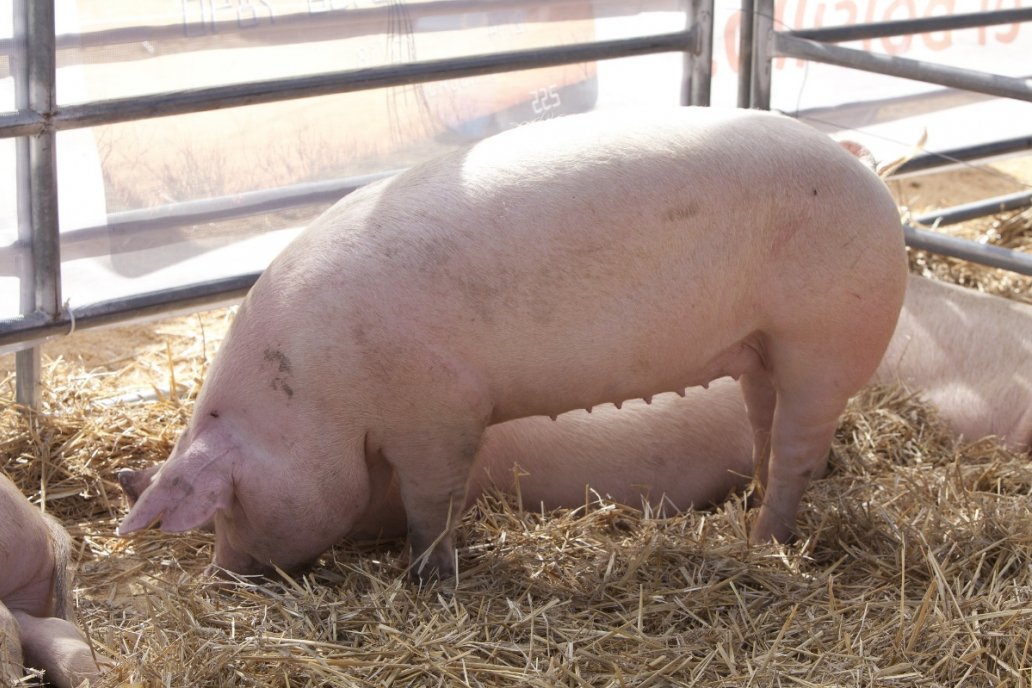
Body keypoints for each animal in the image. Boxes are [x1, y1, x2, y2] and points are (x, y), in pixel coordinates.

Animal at [115, 106, 904, 581]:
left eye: (227, 506)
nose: (223, 572)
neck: (309, 393)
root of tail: (868, 175)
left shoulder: (440, 409)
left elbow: (432, 503)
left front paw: (428, 577)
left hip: (827, 338)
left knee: (799, 446)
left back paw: (763, 541)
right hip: (761, 345)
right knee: (764, 422)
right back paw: (751, 516)